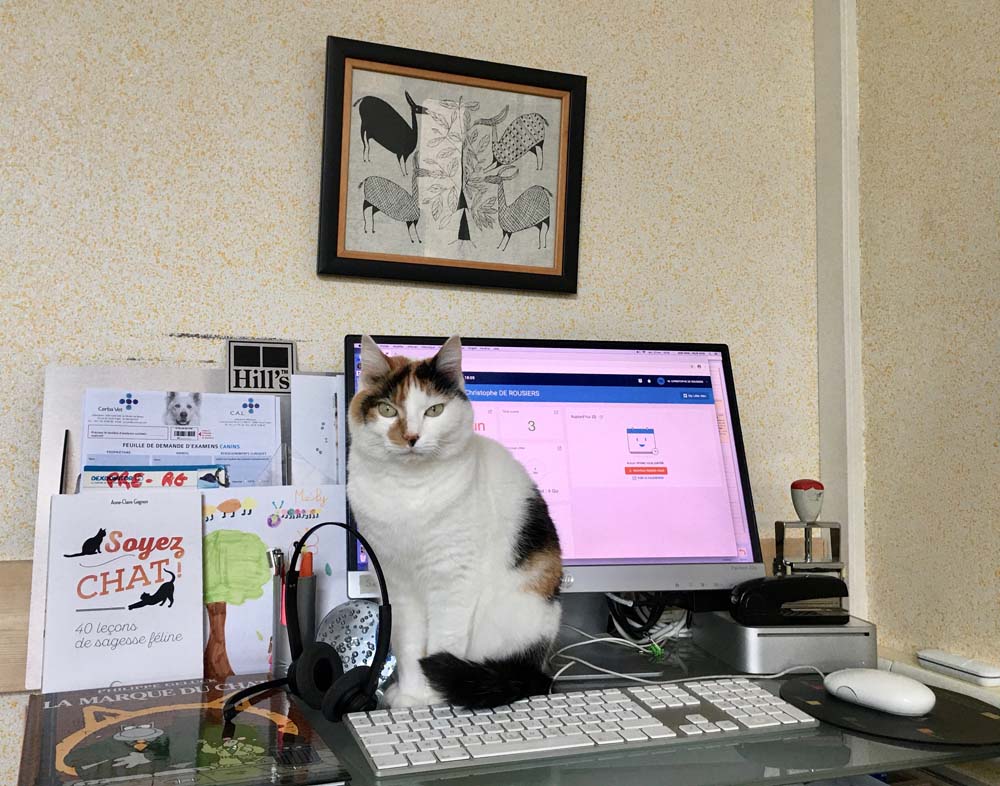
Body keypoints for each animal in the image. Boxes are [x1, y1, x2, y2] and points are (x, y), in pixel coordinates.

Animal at [348, 334, 564, 708]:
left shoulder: (453, 579)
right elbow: (408, 644)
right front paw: (410, 695)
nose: (411, 437)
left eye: (434, 410)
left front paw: (433, 698)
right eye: (388, 410)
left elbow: (442, 640)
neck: (408, 490)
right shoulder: (397, 582)